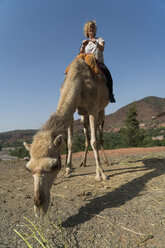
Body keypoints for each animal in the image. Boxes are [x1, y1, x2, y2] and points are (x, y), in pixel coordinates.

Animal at [23, 57, 109, 216]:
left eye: (55, 165)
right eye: (28, 168)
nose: (39, 207)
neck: (78, 81)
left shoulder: (93, 107)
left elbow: (94, 141)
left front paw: (100, 175)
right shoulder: (74, 110)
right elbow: (70, 142)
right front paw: (68, 170)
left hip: (101, 111)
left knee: (99, 136)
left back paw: (106, 162)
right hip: (84, 116)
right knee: (86, 135)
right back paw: (83, 163)